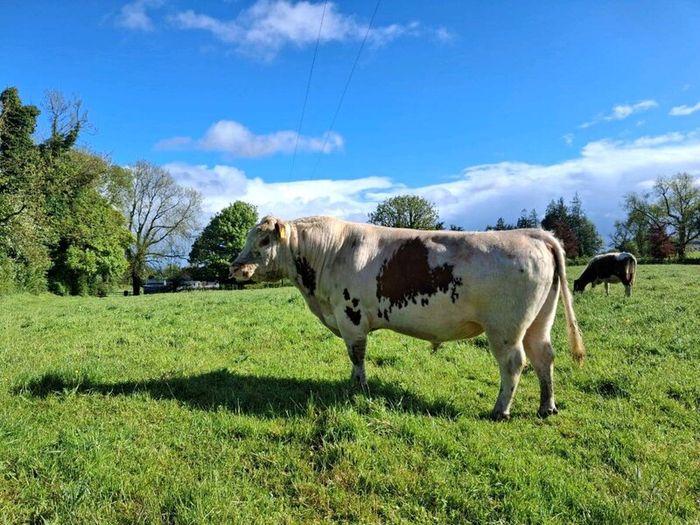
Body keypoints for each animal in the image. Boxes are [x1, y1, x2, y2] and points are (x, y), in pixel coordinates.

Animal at [231, 216, 585, 420]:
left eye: (263, 240)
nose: (235, 267)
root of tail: (535, 234)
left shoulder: (351, 316)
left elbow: (357, 355)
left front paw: (358, 387)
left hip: (505, 328)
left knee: (514, 364)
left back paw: (500, 411)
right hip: (540, 321)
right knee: (544, 357)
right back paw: (546, 407)